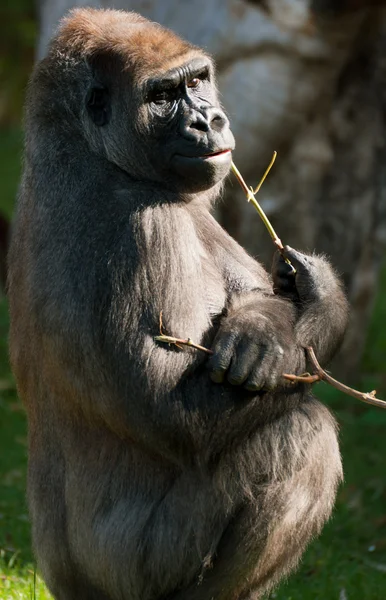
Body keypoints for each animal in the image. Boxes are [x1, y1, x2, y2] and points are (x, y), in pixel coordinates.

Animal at [6, 8, 350, 600]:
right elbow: (175, 414)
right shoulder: (143, 226)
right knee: (298, 436)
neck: (81, 147)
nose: (208, 121)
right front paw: (314, 312)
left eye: (198, 81)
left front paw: (292, 307)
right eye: (163, 95)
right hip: (128, 576)